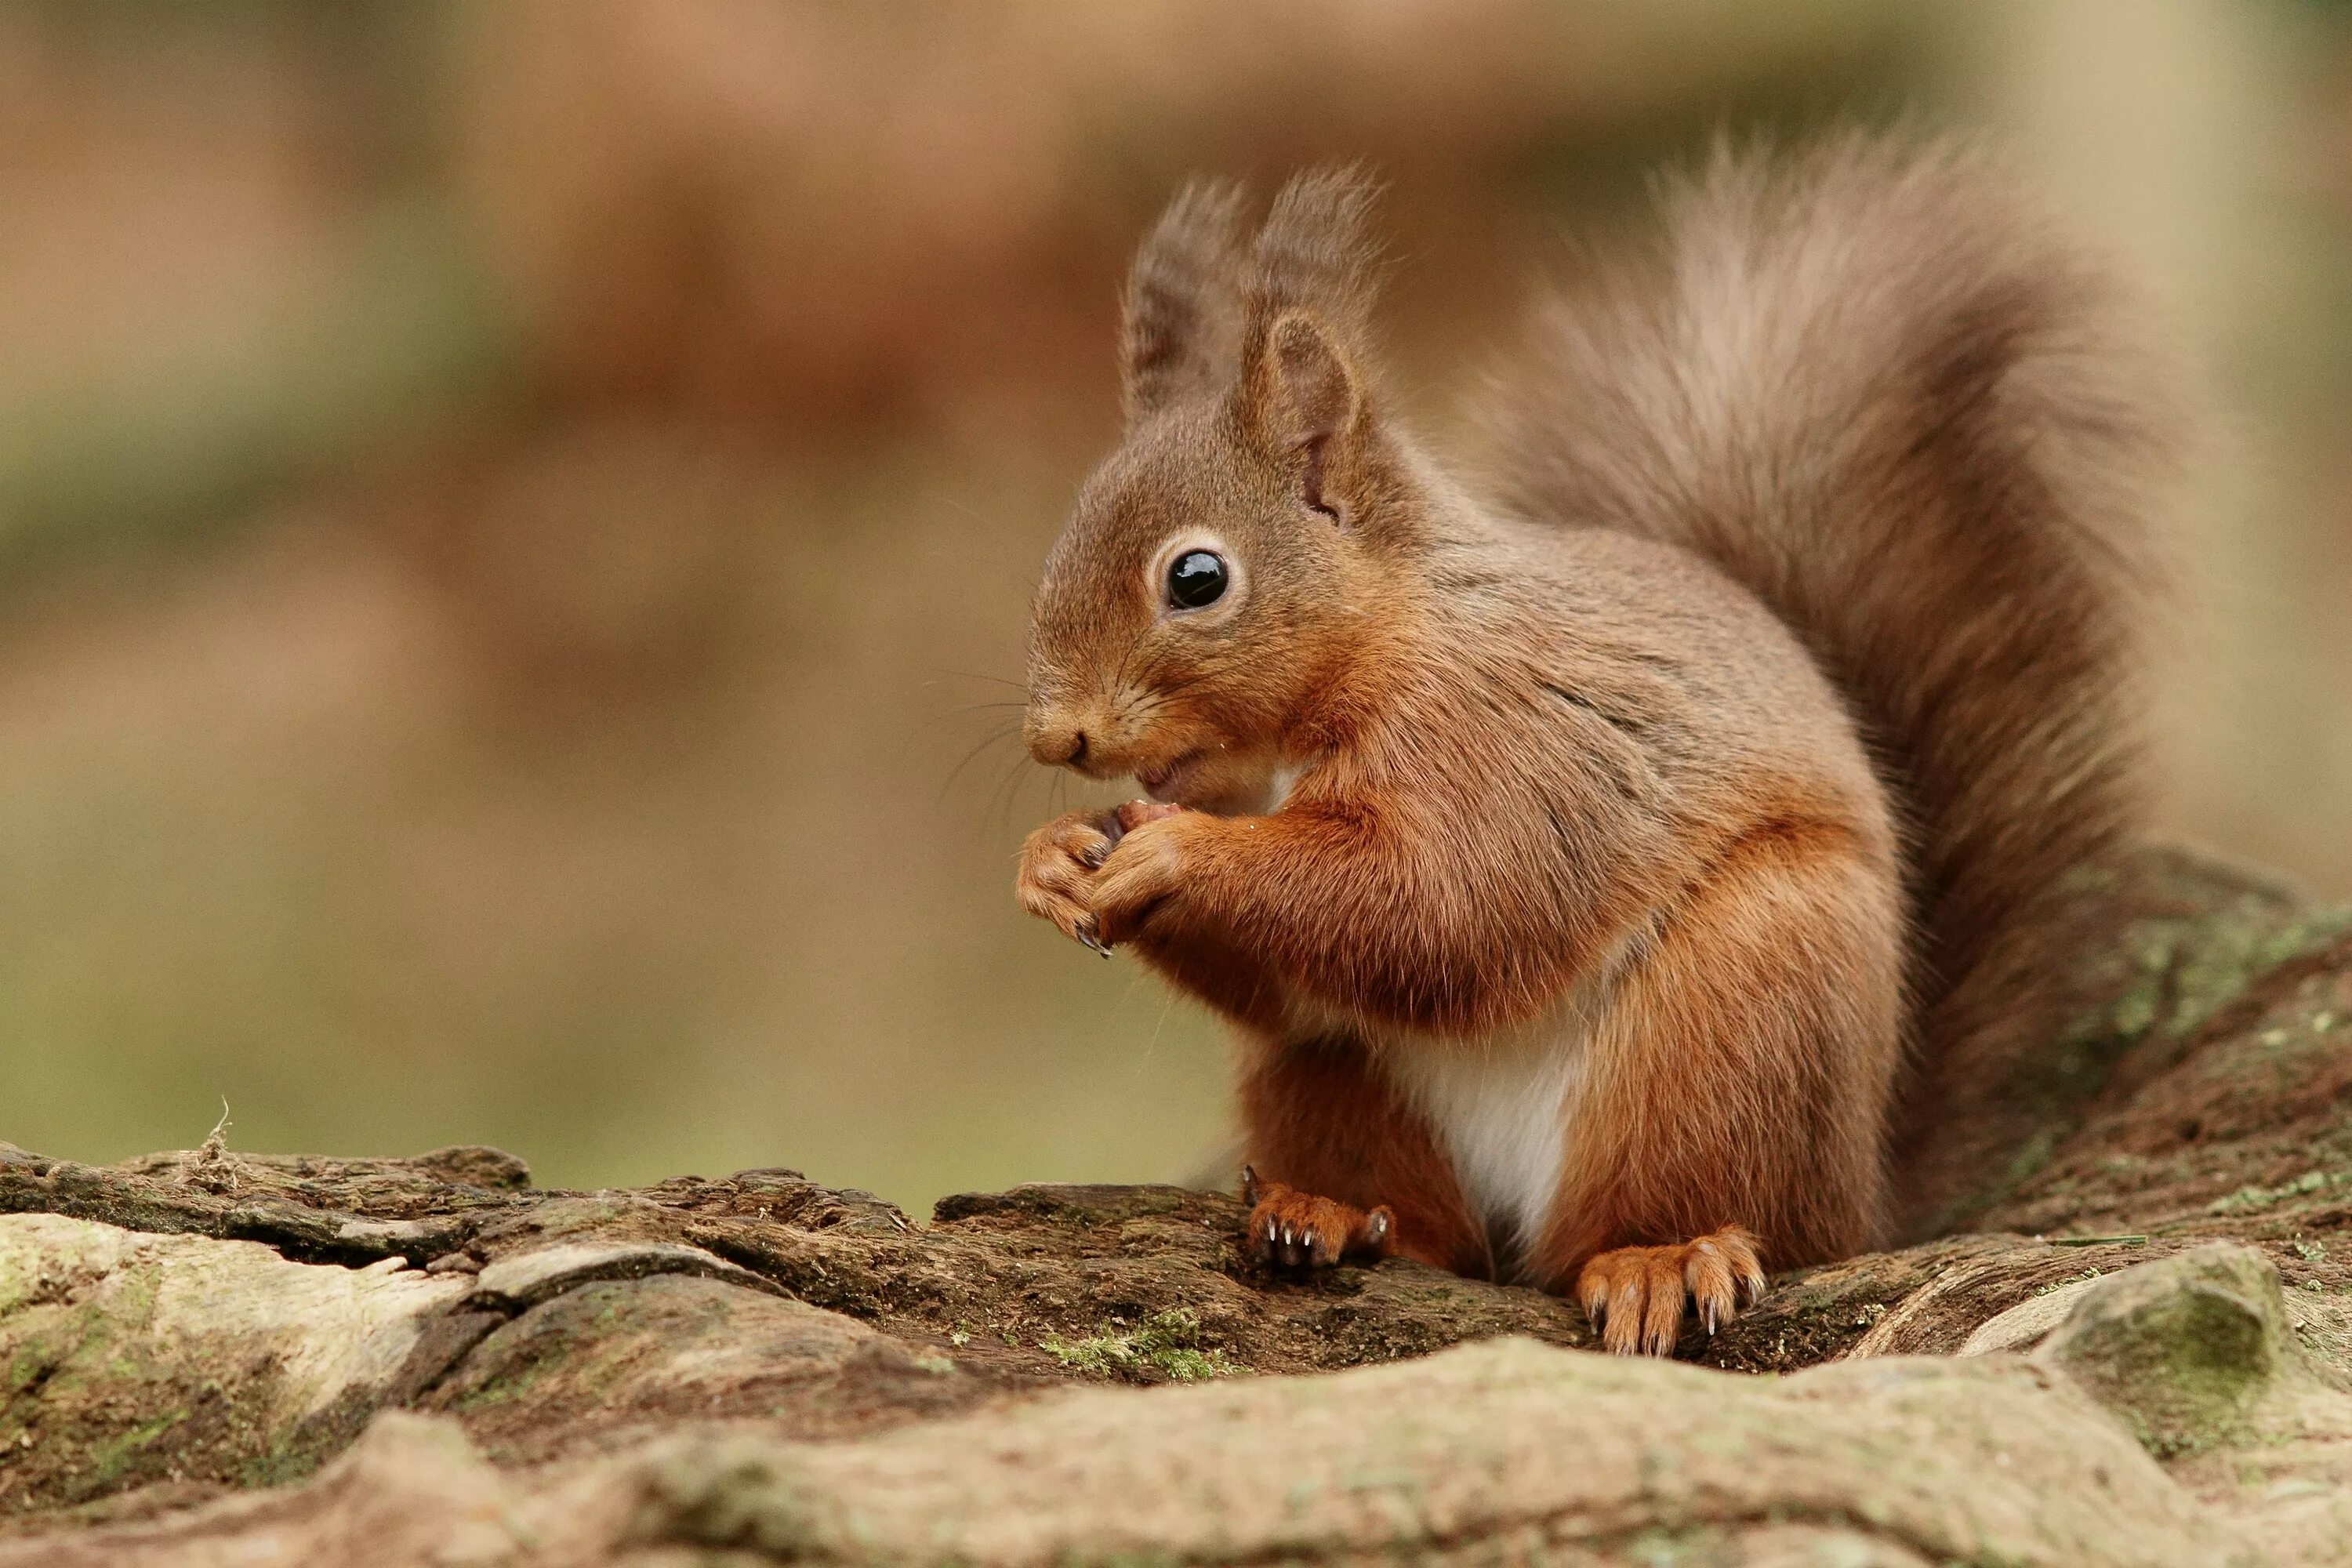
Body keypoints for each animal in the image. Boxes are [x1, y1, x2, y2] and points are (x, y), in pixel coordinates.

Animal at [1002, 135, 2154, 1354]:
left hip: (1739, 1011)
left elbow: (1444, 899)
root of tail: (1865, 1193)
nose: (1058, 735)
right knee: (1430, 1228)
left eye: (1197, 579)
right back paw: (1329, 1213)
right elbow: (1297, 973)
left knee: (1654, 1217)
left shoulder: (1507, 739)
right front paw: (1053, 862)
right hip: (1333, 1082)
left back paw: (1662, 1256)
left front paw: (1179, 855)